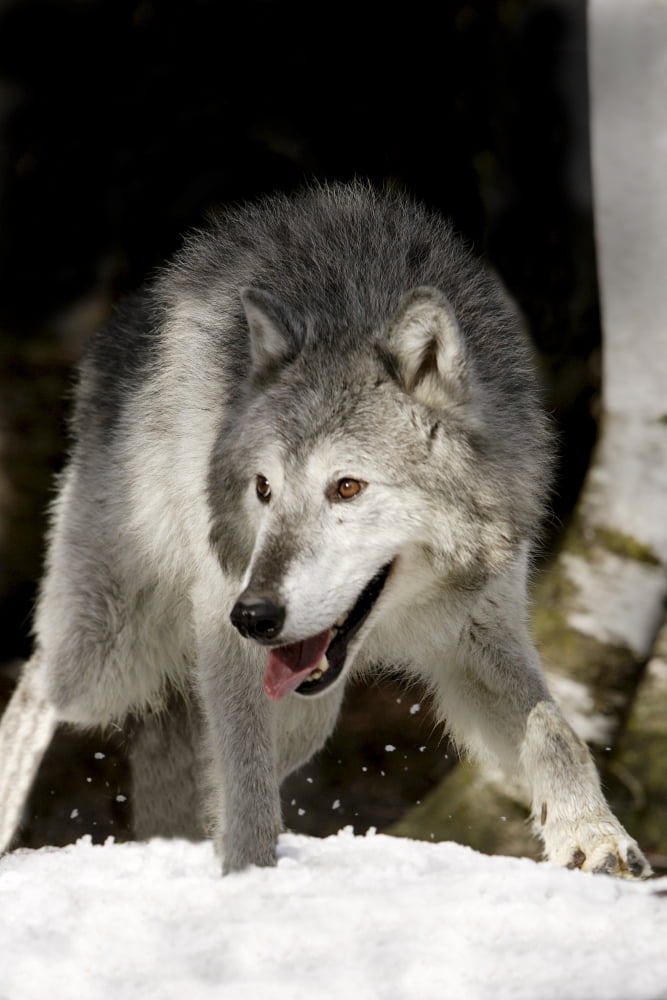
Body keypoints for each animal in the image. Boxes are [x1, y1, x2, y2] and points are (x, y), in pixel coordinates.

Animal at [0, 182, 650, 877]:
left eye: (346, 487)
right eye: (263, 488)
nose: (254, 615)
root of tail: (111, 336)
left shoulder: (482, 626)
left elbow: (556, 730)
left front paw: (595, 836)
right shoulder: (220, 624)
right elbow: (246, 781)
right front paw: (251, 875)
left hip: (307, 709)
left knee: (204, 771)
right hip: (110, 658)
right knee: (34, 689)